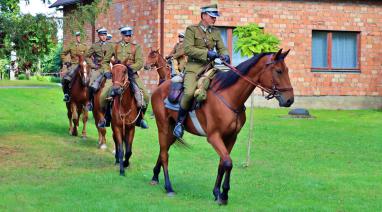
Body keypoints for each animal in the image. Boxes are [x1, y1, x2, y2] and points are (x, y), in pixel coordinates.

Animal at [151, 48, 294, 205]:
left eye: (286, 70)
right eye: (279, 71)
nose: (290, 100)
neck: (230, 97)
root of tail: (158, 88)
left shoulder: (231, 137)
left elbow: (222, 163)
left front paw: (217, 193)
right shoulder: (214, 137)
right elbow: (228, 163)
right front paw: (224, 194)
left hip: (171, 131)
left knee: (163, 150)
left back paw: (155, 176)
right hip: (163, 127)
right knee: (164, 154)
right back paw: (169, 187)